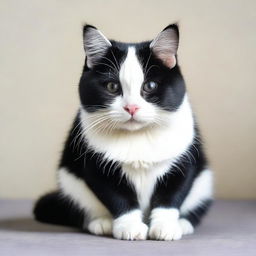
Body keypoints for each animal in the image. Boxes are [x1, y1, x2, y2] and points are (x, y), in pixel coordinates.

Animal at [34, 23, 214, 240]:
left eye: (150, 85)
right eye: (112, 86)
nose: (131, 107)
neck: (138, 136)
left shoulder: (184, 160)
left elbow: (171, 196)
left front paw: (165, 226)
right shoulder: (96, 165)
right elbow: (118, 198)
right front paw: (130, 227)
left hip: (204, 182)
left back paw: (183, 223)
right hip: (71, 184)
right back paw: (100, 223)